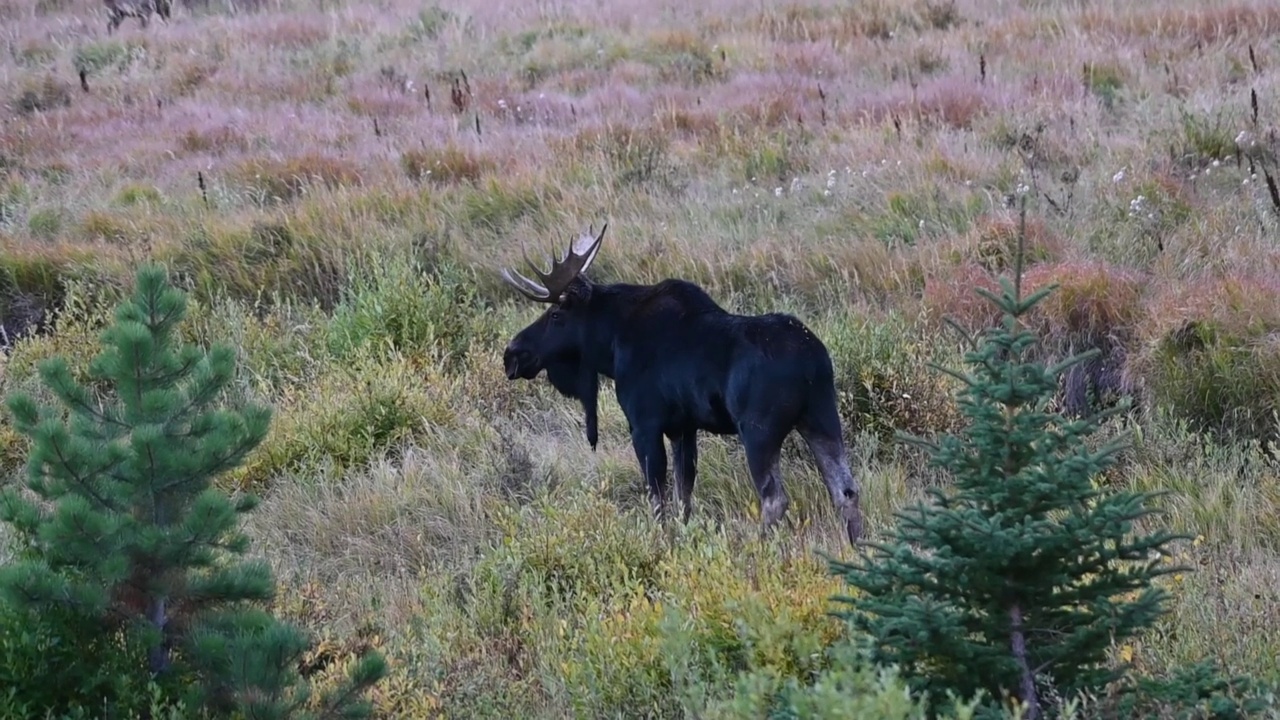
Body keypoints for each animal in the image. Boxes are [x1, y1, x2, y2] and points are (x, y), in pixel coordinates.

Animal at [499, 222, 860, 543]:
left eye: (556, 315)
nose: (512, 354)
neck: (610, 347)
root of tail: (813, 363)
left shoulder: (644, 423)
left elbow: (657, 495)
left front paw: (663, 541)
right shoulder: (684, 428)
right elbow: (683, 494)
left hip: (759, 430)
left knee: (775, 498)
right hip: (822, 418)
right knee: (846, 490)